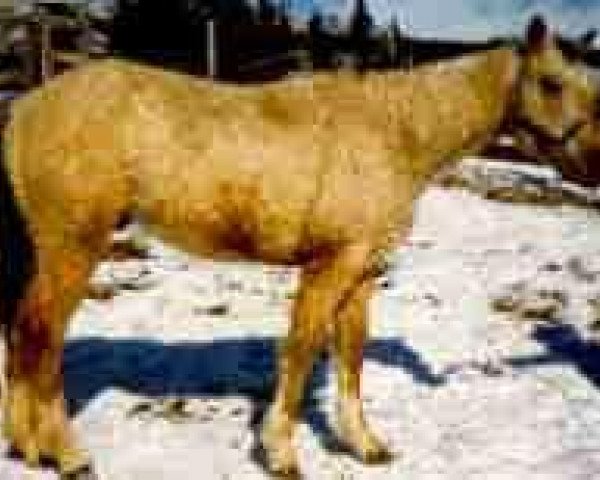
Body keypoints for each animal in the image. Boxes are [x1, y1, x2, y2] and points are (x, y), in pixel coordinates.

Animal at [0, 16, 596, 478]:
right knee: (43, 338)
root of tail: (26, 108)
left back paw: (26, 448)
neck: (395, 130)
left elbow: (351, 359)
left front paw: (366, 447)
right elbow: (302, 351)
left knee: (20, 333)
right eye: (550, 83)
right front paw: (281, 454)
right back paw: (69, 456)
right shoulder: (330, 267)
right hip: (73, 248)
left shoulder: (362, 274)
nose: (592, 166)